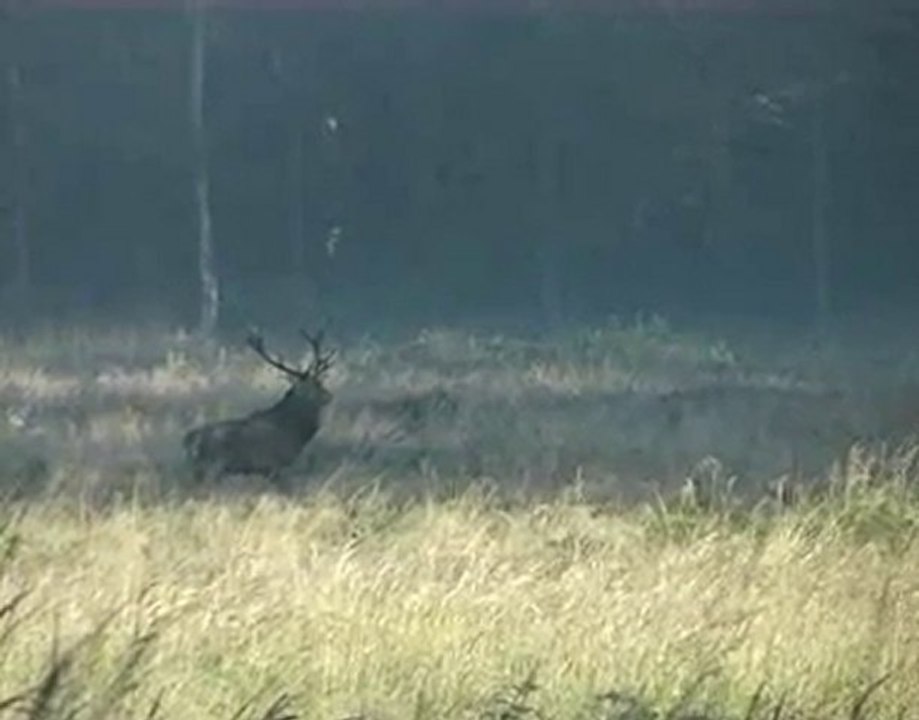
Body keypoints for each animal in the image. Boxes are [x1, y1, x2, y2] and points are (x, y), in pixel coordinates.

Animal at [183, 328, 335, 487]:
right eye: (317, 384)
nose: (329, 396)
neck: (295, 432)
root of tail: (188, 440)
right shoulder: (275, 465)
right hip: (214, 466)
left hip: (200, 469)